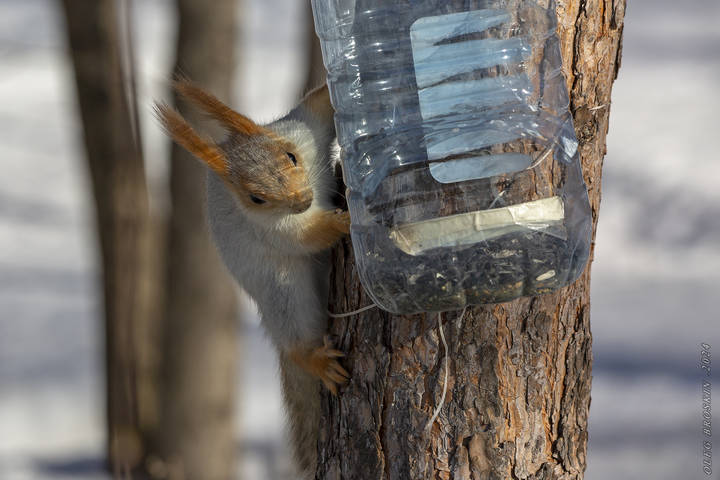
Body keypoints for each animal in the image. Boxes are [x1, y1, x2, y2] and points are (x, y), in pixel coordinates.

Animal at [156, 79, 350, 476]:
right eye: (255, 198)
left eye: (291, 156)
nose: (302, 199)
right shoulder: (272, 229)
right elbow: (308, 235)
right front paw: (347, 221)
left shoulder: (304, 127)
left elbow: (320, 104)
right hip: (284, 294)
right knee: (297, 340)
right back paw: (315, 359)